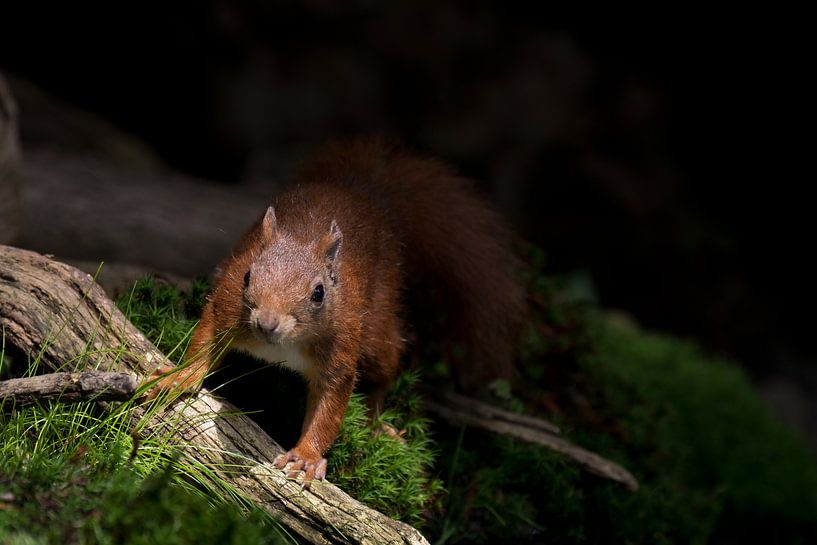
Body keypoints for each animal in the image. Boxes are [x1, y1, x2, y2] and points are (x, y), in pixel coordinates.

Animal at [146, 138, 526, 486]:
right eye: (247, 275)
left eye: (319, 293)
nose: (266, 323)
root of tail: (368, 197)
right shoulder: (225, 306)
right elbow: (205, 340)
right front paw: (179, 378)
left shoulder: (340, 348)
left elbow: (331, 405)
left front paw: (306, 457)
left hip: (376, 330)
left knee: (385, 369)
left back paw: (376, 423)